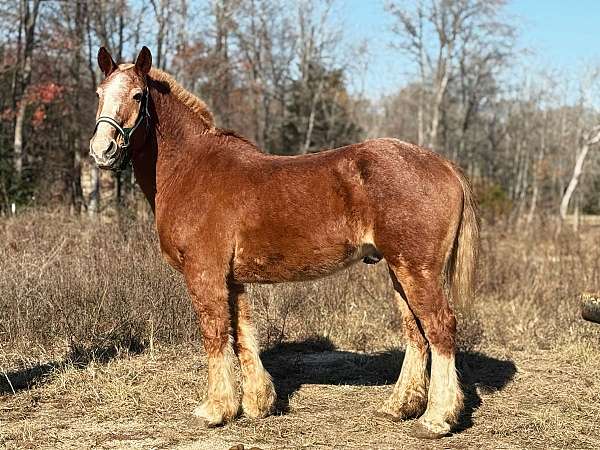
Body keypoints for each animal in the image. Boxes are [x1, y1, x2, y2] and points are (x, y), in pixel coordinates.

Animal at [89, 46, 478, 440]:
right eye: (99, 93)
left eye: (138, 95)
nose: (102, 150)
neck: (191, 169)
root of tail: (444, 165)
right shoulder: (232, 279)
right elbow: (242, 334)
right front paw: (257, 404)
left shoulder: (204, 274)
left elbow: (215, 334)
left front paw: (214, 410)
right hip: (399, 271)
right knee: (416, 333)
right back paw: (399, 407)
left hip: (417, 270)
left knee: (440, 328)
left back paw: (436, 419)